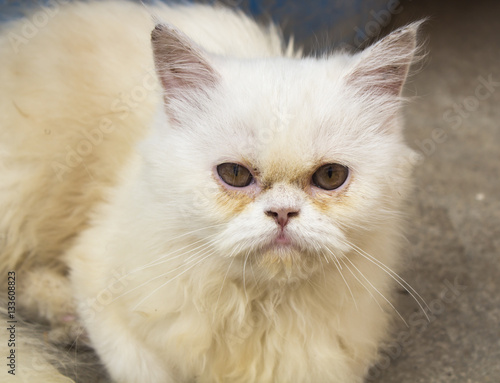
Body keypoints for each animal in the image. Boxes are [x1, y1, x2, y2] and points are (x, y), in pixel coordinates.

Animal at [0, 0, 422, 383]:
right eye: (234, 174)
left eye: (331, 176)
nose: (283, 213)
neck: (260, 306)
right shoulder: (96, 273)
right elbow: (143, 367)